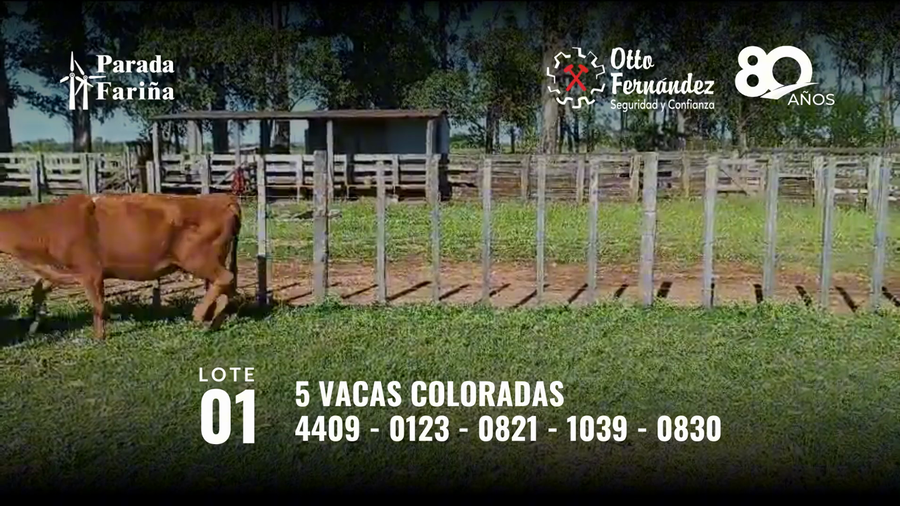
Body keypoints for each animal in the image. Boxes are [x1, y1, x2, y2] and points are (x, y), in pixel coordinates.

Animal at [0, 192, 242, 340]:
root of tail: (222, 198)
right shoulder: (58, 270)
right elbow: (38, 293)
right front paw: (33, 328)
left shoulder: (91, 272)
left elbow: (98, 306)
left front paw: (99, 338)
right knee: (225, 288)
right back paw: (214, 322)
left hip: (198, 259)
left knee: (225, 279)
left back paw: (199, 314)